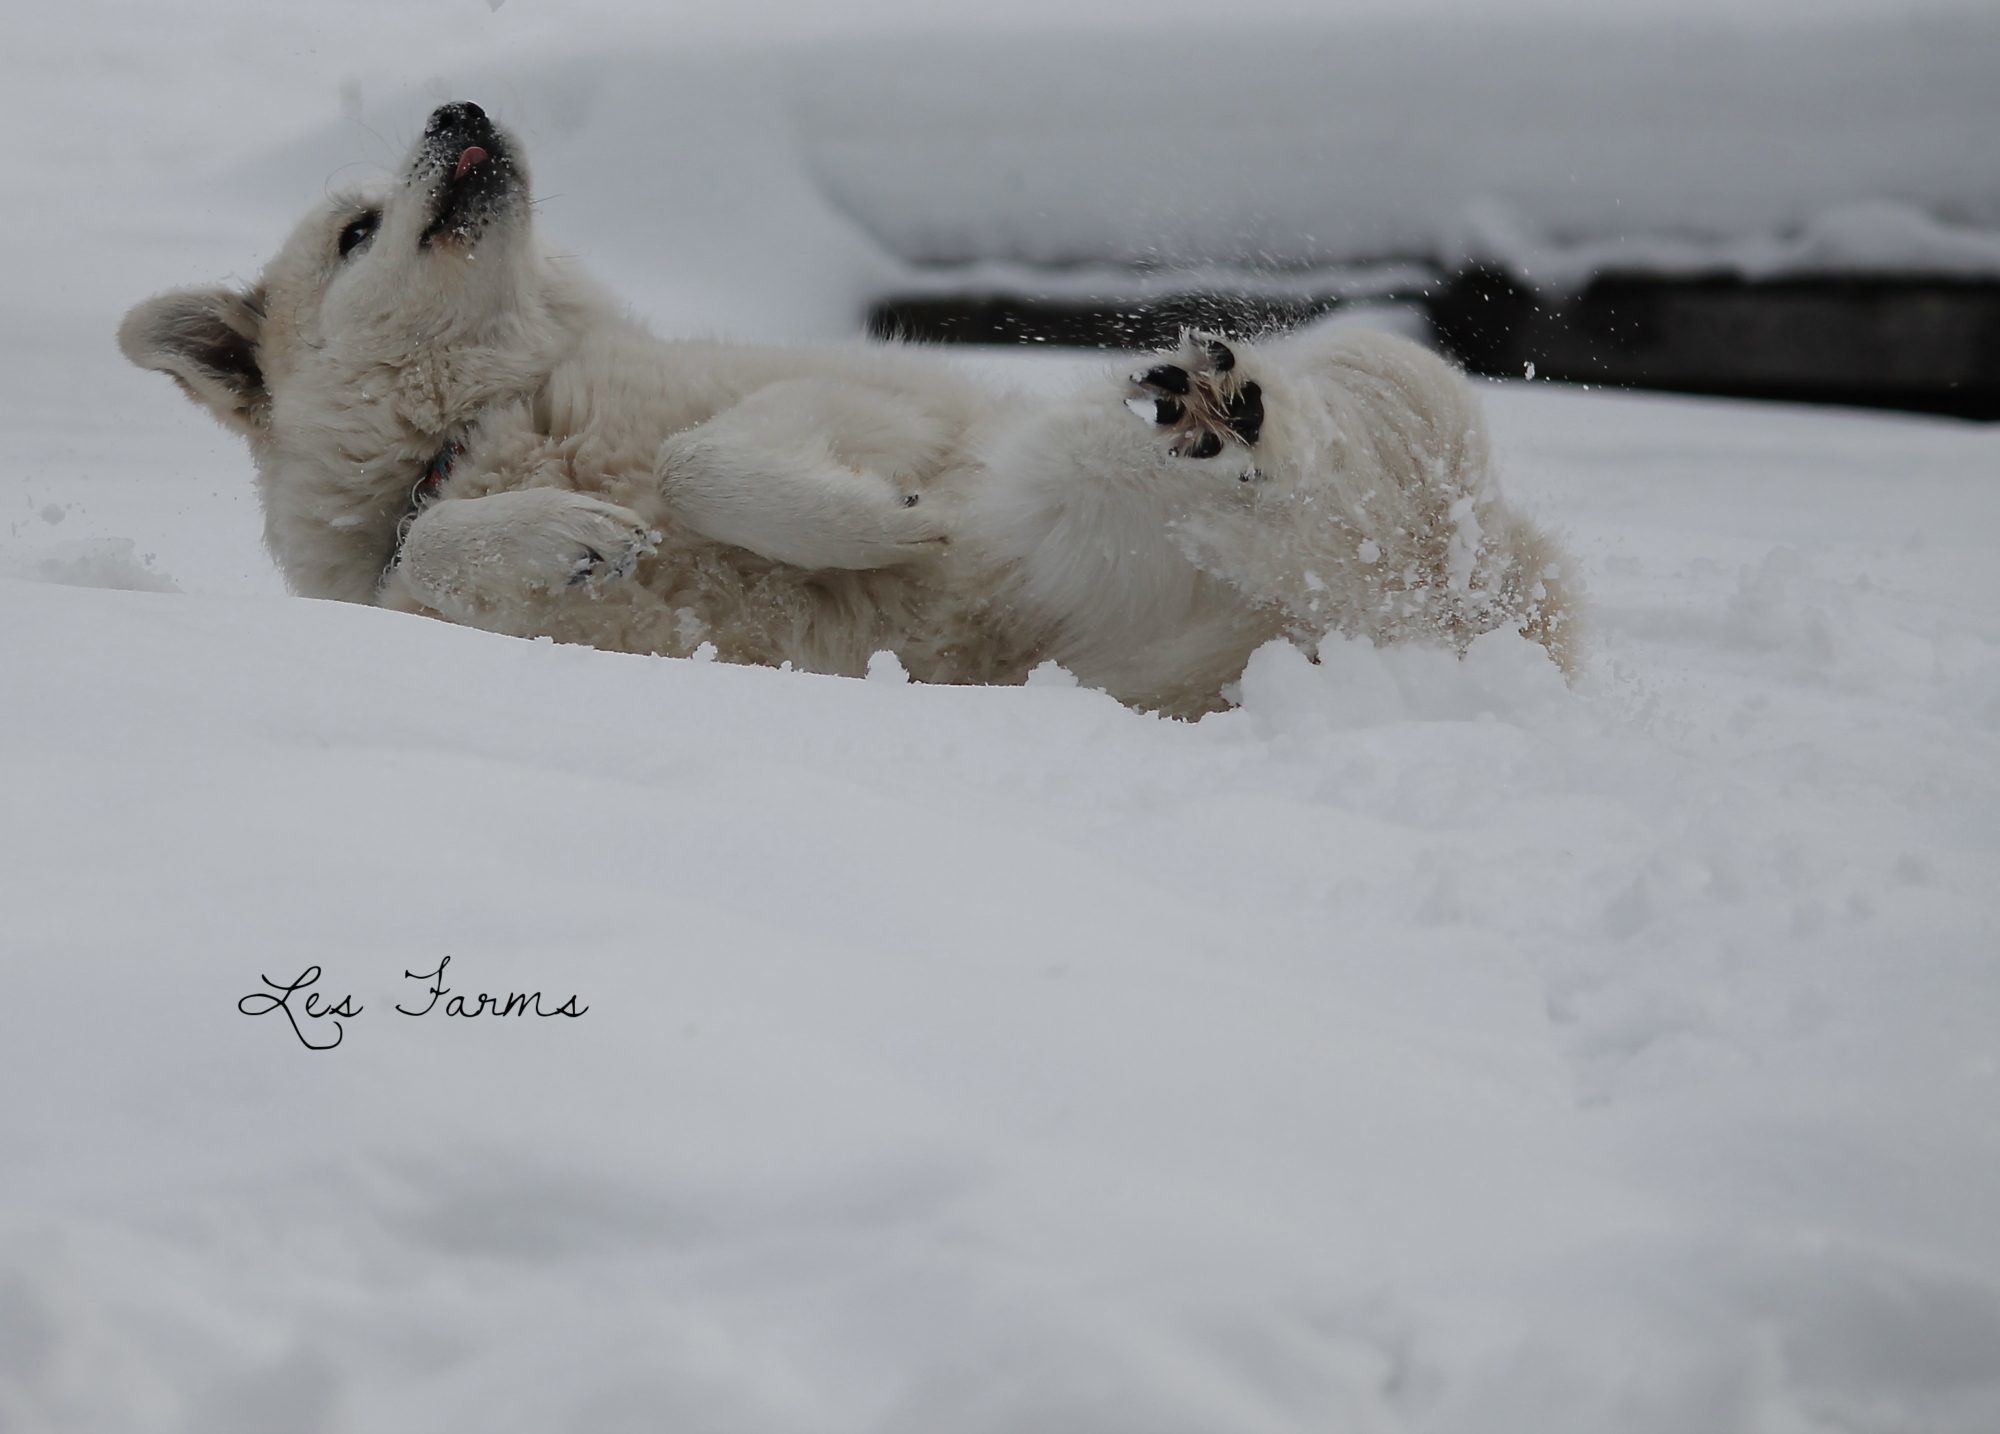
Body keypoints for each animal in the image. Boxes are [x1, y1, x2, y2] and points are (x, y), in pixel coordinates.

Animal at [121, 100, 1576, 716]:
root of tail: (1492, 603)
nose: (459, 102)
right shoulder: (412, 575)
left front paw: (887, 532)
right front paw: (568, 541)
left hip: (1088, 464)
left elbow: (706, 458)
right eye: (358, 229)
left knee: (1332, 481)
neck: (499, 417)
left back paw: (1232, 411)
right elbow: (430, 549)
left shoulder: (846, 396)